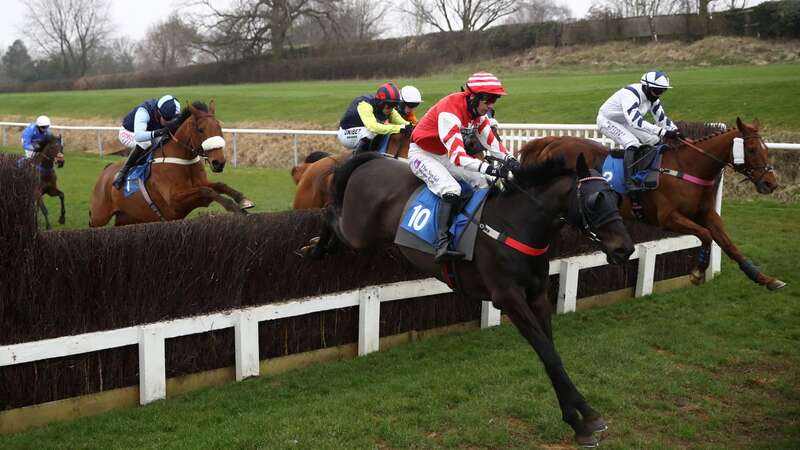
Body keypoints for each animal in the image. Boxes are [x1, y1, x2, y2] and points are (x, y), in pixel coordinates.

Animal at [90, 103, 253, 229]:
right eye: (201, 129)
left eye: (219, 126)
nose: (219, 162)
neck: (183, 160)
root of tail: (105, 171)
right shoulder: (174, 201)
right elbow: (206, 191)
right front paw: (233, 207)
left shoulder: (200, 184)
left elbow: (219, 185)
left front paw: (243, 200)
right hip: (100, 216)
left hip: (128, 217)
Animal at [308, 153, 636, 448]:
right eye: (595, 200)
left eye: (615, 196)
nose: (625, 249)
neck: (516, 225)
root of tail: (372, 160)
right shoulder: (509, 299)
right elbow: (549, 354)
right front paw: (585, 418)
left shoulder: (538, 296)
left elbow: (551, 355)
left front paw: (581, 419)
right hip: (358, 232)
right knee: (327, 213)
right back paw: (315, 248)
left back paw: (324, 247)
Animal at [516, 118, 784, 290]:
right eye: (751, 148)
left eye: (766, 147)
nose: (770, 183)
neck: (688, 168)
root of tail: (548, 142)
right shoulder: (668, 218)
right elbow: (706, 236)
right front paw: (697, 272)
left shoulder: (706, 213)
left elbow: (729, 244)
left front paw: (764, 278)